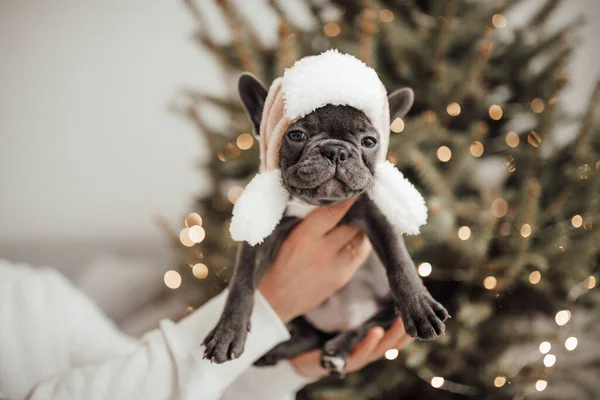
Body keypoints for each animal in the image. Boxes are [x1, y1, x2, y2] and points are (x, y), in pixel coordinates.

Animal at [203, 73, 450, 376]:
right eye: (296, 135)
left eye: (369, 141)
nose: (335, 150)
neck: (318, 205)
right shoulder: (260, 238)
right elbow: (242, 284)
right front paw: (226, 332)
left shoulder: (377, 215)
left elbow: (399, 261)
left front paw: (419, 307)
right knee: (312, 336)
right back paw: (276, 351)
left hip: (383, 314)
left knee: (368, 325)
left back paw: (338, 350)